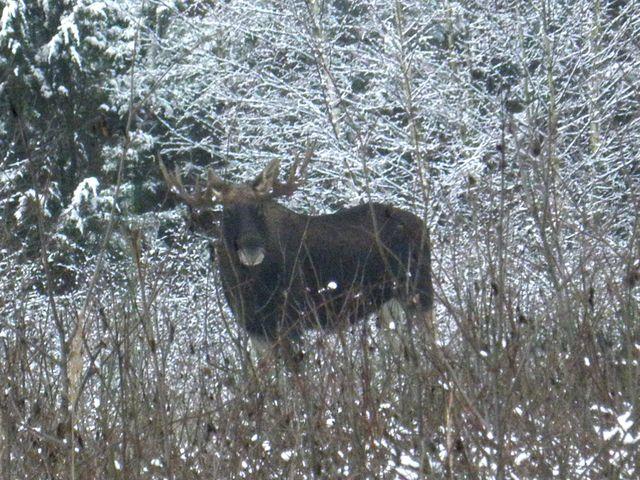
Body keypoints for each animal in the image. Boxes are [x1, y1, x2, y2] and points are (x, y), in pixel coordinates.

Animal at [160, 154, 436, 364]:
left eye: (259, 208)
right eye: (227, 212)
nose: (251, 247)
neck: (249, 286)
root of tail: (423, 225)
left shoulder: (291, 322)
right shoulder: (255, 329)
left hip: (419, 291)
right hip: (388, 307)